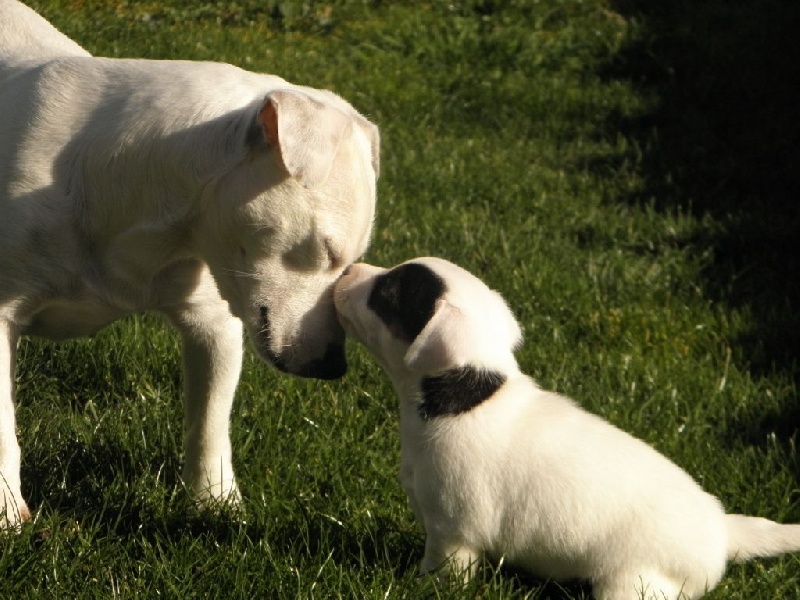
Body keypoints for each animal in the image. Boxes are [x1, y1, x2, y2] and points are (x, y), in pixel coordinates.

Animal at [0, 0, 382, 524]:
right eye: (326, 250)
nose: (332, 367)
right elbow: (2, 432)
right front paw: (6, 514)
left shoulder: (213, 319)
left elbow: (210, 419)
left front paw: (215, 504)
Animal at [334, 258, 800, 600]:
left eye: (387, 293)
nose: (346, 269)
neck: (463, 399)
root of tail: (723, 532)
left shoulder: (453, 534)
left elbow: (440, 572)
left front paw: (418, 587)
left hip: (631, 586)